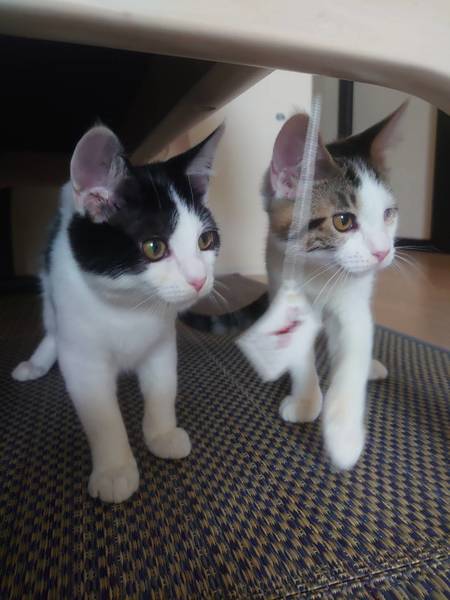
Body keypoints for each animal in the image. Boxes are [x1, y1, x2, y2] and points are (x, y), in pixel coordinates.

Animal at [12, 123, 224, 503]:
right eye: (154, 247)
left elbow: (162, 388)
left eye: (206, 241)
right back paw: (37, 362)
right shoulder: (83, 359)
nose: (199, 279)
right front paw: (114, 470)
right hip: (49, 286)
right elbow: (102, 416)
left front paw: (161, 434)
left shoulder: (162, 342)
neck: (128, 308)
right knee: (52, 324)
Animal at [182, 104, 406, 470]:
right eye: (343, 221)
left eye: (389, 214)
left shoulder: (353, 306)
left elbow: (352, 356)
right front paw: (305, 400)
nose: (383, 252)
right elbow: (298, 348)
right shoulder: (283, 287)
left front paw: (343, 436)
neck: (320, 274)